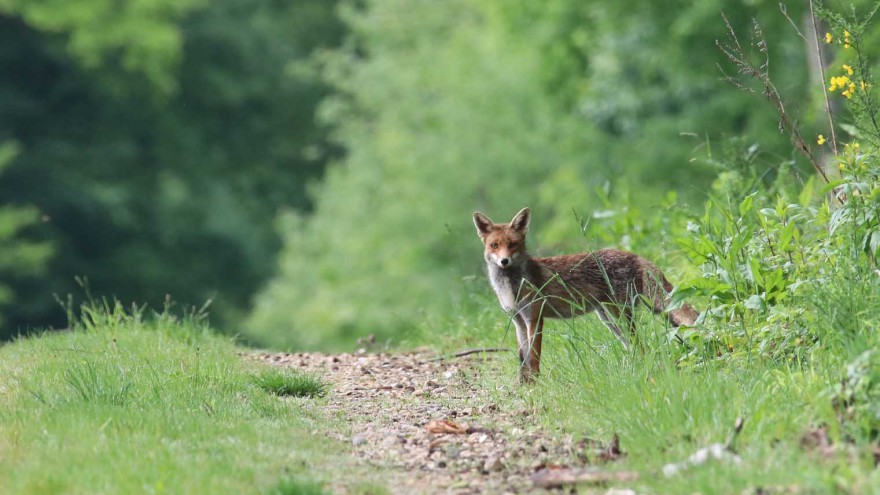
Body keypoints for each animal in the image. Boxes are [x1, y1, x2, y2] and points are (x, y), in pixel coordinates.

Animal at [472, 207, 698, 382]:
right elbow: (523, 359)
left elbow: (534, 359)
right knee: (636, 347)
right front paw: (523, 384)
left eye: (512, 244)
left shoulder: (535, 318)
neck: (511, 287)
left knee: (641, 345)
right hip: (609, 319)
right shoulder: (518, 321)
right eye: (494, 245)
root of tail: (634, 255)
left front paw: (536, 386)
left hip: (619, 315)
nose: (504, 261)